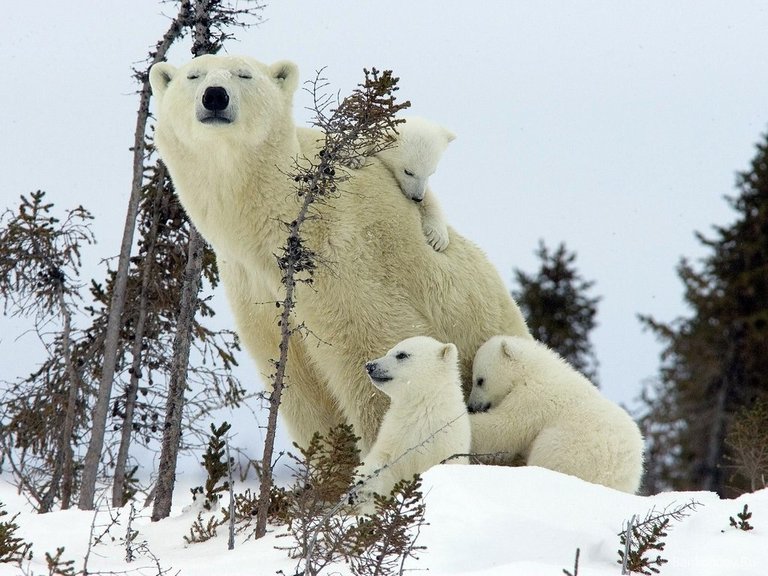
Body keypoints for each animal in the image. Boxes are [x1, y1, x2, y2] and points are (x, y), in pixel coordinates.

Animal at [348, 116, 456, 251]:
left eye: (431, 173)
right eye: (408, 172)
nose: (417, 198)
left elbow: (430, 199)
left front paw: (438, 238)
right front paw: (354, 157)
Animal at [356, 336, 474, 506]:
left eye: (401, 355)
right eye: (388, 351)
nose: (370, 365)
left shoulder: (447, 440)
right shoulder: (395, 434)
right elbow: (383, 461)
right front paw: (361, 486)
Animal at [468, 336, 640, 492]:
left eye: (480, 380)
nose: (471, 406)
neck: (534, 370)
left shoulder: (533, 398)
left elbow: (504, 428)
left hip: (569, 450)